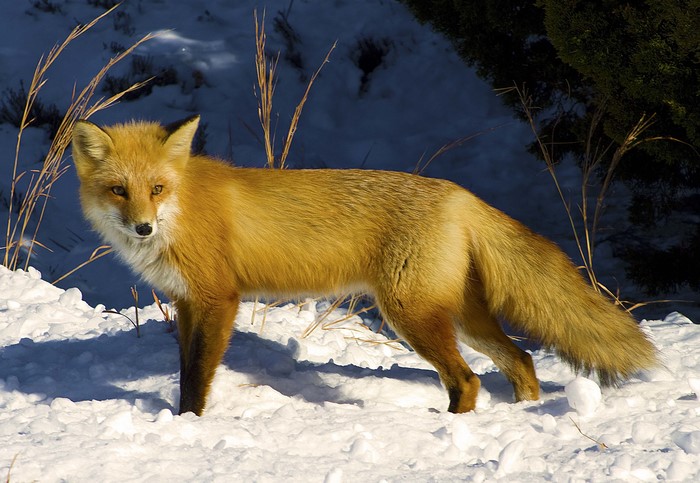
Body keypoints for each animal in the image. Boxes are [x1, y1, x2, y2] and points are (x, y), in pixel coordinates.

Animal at [71, 115, 657, 416]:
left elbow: (197, 378)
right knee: (522, 361)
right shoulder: (188, 302)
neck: (184, 210)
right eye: (119, 191)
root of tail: (458, 193)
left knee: (468, 380)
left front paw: (189, 423)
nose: (143, 228)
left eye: (157, 189)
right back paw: (521, 416)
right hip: (461, 317)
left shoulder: (219, 300)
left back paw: (455, 431)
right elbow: (184, 371)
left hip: (409, 313)